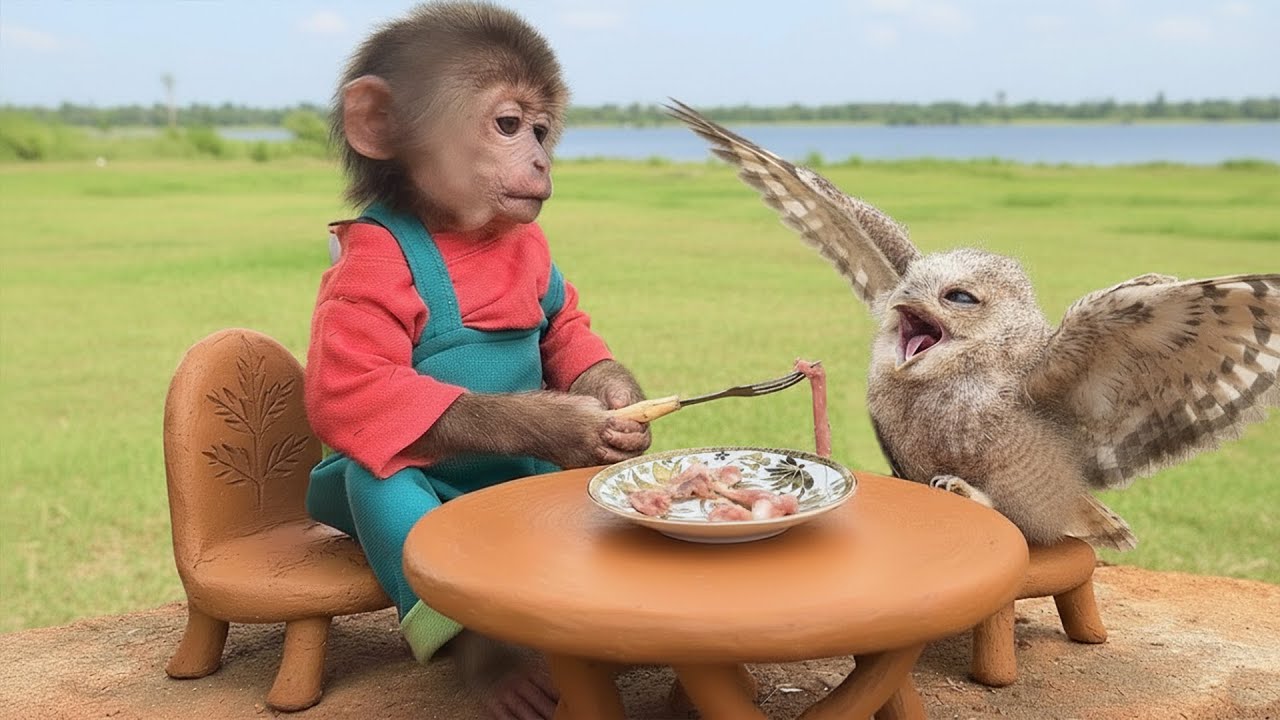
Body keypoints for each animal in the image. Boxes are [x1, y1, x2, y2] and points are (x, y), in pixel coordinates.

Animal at [301, 3, 652, 719]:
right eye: (508, 125)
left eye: (542, 129)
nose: (540, 157)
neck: (459, 231)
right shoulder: (365, 269)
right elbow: (362, 390)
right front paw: (573, 426)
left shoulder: (538, 252)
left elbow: (565, 331)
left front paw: (622, 408)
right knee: (379, 474)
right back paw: (495, 665)